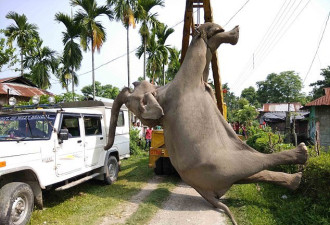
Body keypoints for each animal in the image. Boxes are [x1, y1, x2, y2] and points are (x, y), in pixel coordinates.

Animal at [104, 21, 308, 225]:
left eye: (135, 87)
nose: (133, 83)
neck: (160, 93)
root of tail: (205, 193)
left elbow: (206, 68)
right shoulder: (184, 83)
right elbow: (200, 56)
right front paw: (214, 31)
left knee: (249, 174)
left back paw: (295, 180)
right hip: (220, 167)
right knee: (255, 163)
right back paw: (302, 156)